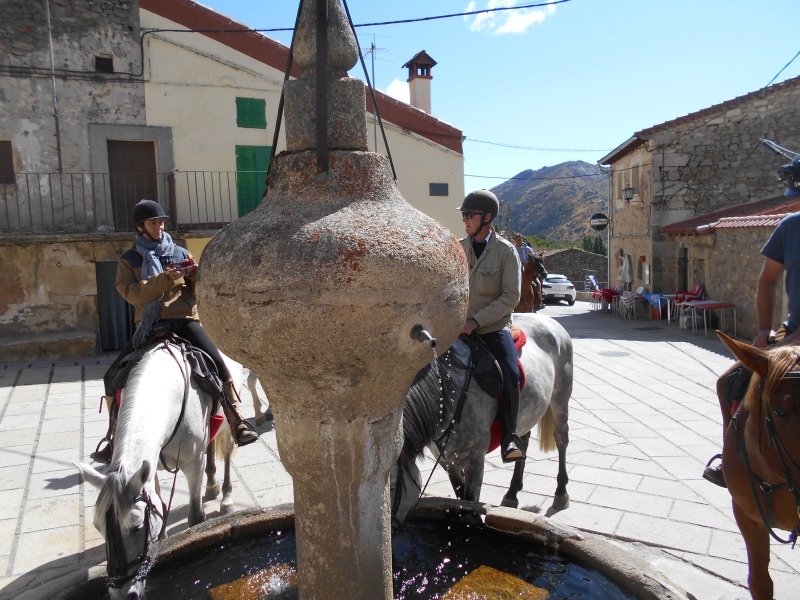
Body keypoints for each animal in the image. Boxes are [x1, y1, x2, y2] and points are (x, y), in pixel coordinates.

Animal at [77, 342, 241, 600]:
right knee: (211, 446)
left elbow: (195, 518)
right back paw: (212, 486)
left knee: (224, 452)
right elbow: (158, 503)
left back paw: (225, 498)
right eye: (98, 528)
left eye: (137, 528)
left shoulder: (193, 464)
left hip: (227, 422)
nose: (121, 594)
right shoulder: (149, 467)